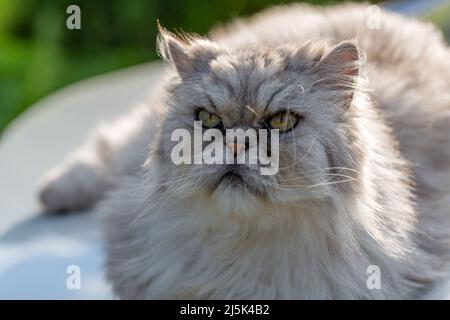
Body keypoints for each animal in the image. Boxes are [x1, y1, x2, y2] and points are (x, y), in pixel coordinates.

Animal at [37, 3, 450, 300]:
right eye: (209, 119)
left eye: (281, 122)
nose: (236, 143)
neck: (245, 250)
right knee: (105, 148)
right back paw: (52, 193)